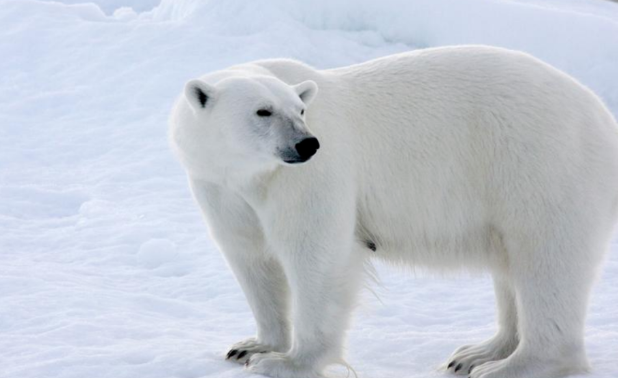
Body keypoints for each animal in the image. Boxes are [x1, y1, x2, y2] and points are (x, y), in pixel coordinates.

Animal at [167, 46, 616, 378]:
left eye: (300, 110)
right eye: (263, 110)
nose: (308, 144)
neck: (252, 174)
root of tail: (603, 118)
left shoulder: (310, 177)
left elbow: (316, 254)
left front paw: (286, 363)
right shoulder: (221, 187)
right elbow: (251, 258)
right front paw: (251, 346)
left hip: (542, 166)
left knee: (546, 261)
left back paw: (512, 365)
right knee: (511, 266)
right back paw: (476, 353)